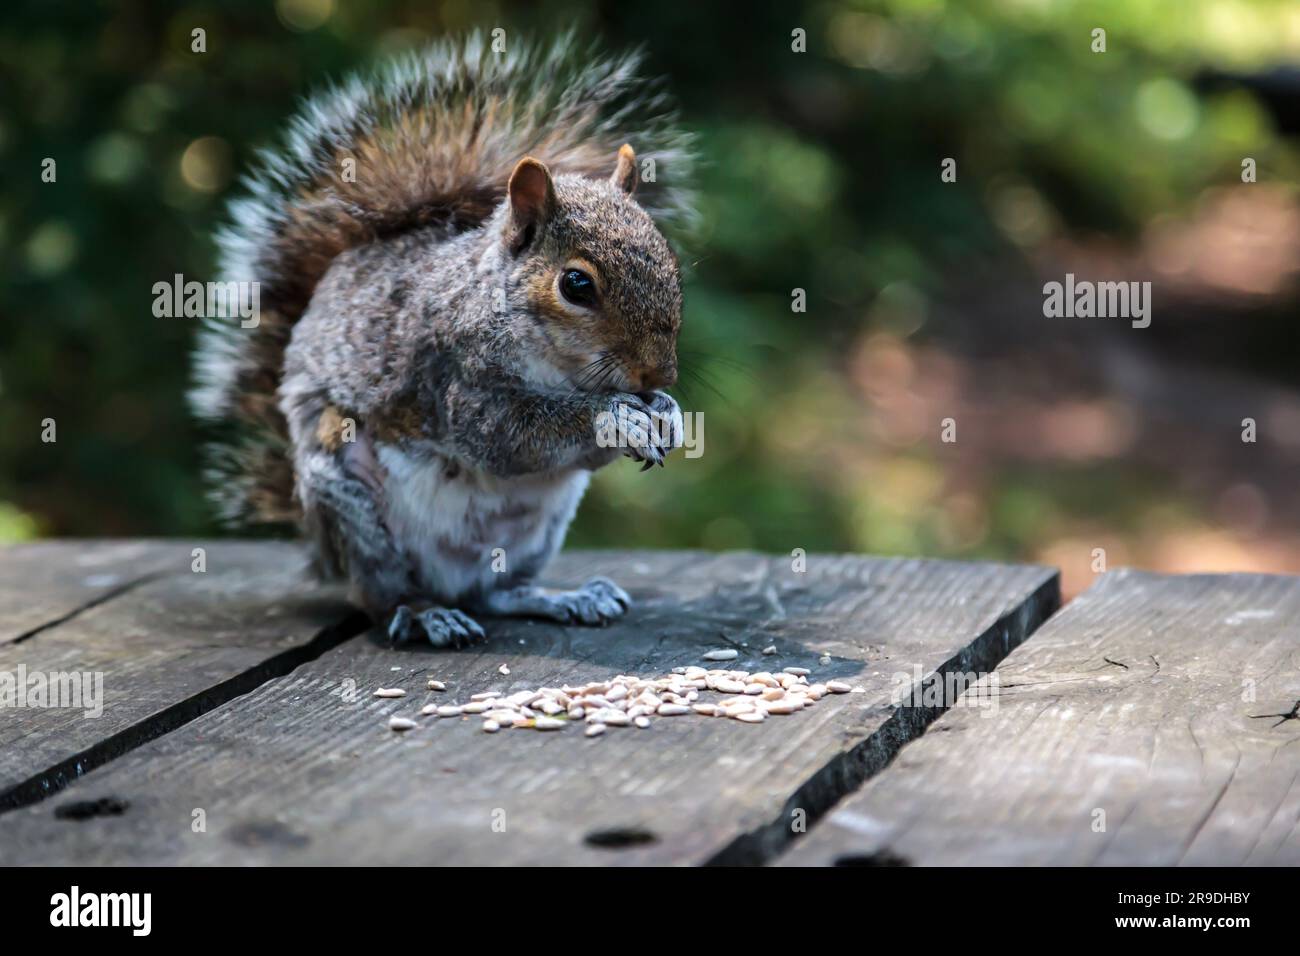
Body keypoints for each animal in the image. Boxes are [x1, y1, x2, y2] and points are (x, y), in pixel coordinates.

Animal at [191, 34, 696, 647]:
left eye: (671, 264)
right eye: (576, 285)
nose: (659, 374)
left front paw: (667, 411)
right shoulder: (454, 384)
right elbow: (510, 437)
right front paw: (616, 416)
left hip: (539, 529)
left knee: (496, 593)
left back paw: (564, 597)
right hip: (350, 497)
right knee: (383, 597)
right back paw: (424, 613)